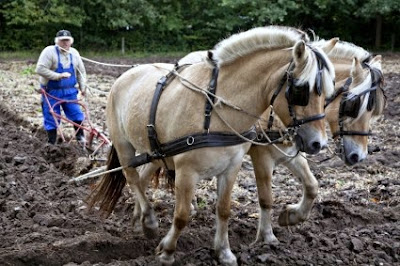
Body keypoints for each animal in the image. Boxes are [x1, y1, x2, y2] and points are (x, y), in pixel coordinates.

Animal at [88, 25, 338, 266]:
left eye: (328, 91)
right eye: (300, 90)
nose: (318, 143)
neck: (216, 109)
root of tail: (126, 74)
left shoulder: (235, 166)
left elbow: (225, 209)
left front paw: (224, 251)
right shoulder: (192, 170)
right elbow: (183, 215)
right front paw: (167, 251)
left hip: (157, 152)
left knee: (142, 178)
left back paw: (139, 219)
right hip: (124, 145)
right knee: (132, 177)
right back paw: (148, 220)